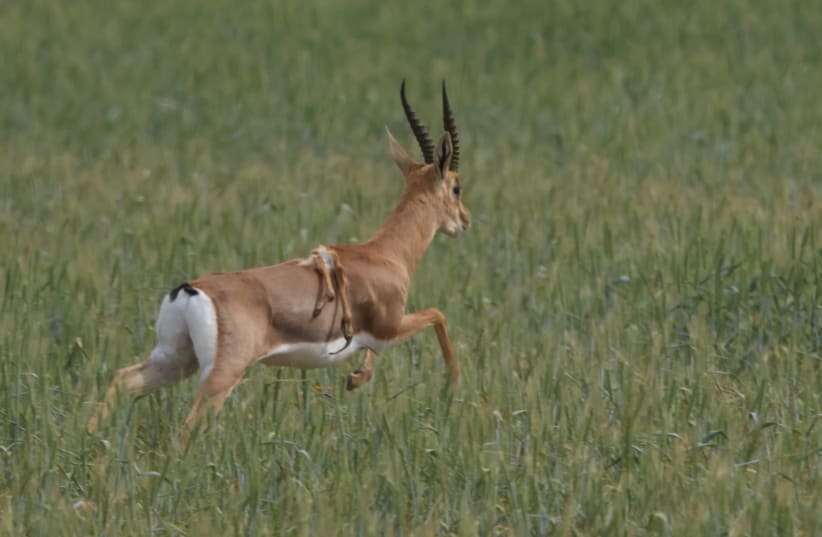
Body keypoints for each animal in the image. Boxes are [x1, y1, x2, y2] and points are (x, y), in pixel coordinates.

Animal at [88, 81, 471, 432]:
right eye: (456, 187)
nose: (465, 221)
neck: (385, 254)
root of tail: (189, 290)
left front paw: (356, 378)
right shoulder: (390, 327)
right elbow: (438, 315)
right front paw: (450, 389)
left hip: (174, 360)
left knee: (122, 380)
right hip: (219, 373)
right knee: (190, 424)